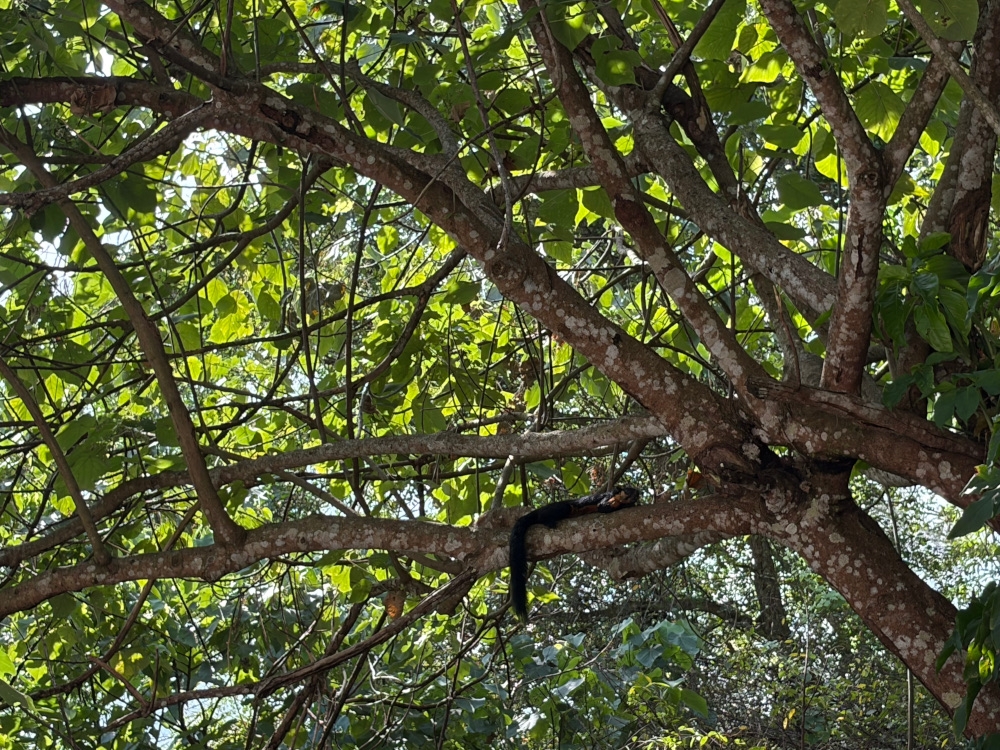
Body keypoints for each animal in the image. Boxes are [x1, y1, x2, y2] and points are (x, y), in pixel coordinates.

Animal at [508, 486, 640, 620]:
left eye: (636, 493)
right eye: (628, 490)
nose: (636, 495)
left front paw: (631, 504)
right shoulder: (607, 497)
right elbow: (602, 507)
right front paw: (617, 505)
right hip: (560, 508)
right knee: (548, 514)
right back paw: (548, 521)